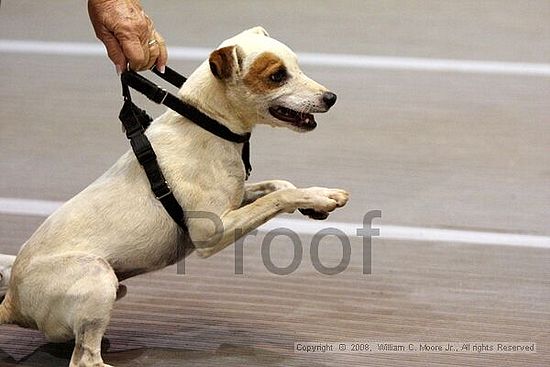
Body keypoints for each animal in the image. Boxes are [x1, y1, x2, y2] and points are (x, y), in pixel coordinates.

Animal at [0, 27, 350, 366]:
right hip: (97, 276)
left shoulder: (235, 201)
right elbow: (277, 198)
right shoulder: (212, 232)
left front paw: (315, 203)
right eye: (277, 76)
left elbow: (280, 186)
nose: (331, 98)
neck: (209, 125)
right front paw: (319, 198)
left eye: (297, 66)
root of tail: (12, 303)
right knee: (86, 360)